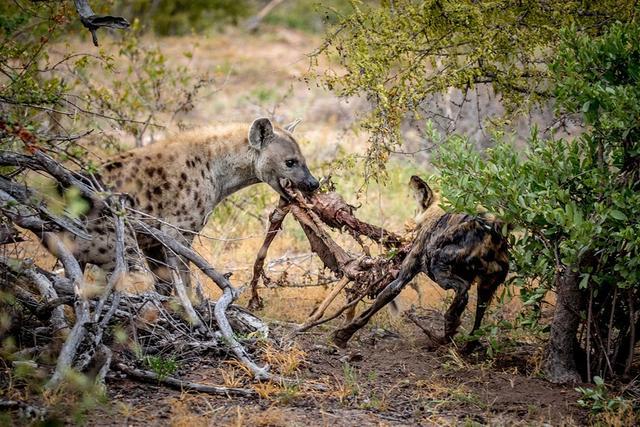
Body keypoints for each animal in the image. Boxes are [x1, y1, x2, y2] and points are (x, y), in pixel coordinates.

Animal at [69, 118, 318, 296]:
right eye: (290, 162)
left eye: (304, 161)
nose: (313, 183)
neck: (216, 169)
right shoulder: (177, 231)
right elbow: (183, 278)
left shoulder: (154, 239)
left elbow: (165, 284)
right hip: (117, 244)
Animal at [332, 176, 508, 350]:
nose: (409, 223)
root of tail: (489, 234)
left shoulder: (401, 279)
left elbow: (368, 311)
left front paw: (343, 335)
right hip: (486, 288)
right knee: (477, 322)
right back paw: (462, 343)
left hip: (438, 268)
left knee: (462, 292)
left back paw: (449, 326)